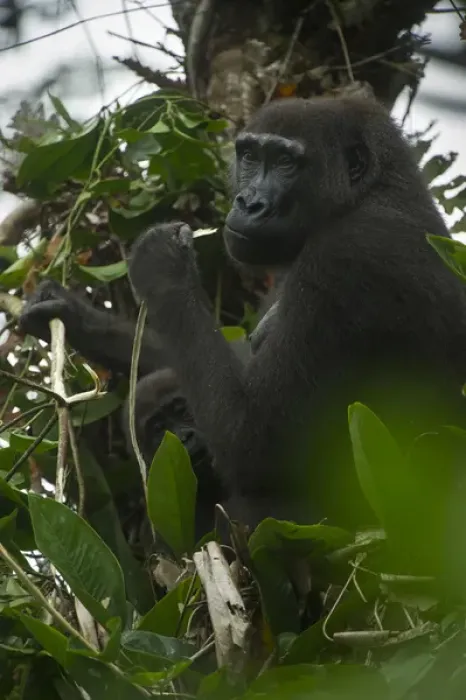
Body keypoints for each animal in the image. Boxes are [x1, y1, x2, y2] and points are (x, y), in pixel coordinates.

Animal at [124, 95, 466, 533]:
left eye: (286, 162)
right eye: (250, 156)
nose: (248, 203)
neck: (370, 194)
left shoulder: (347, 258)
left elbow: (255, 445)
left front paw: (163, 267)